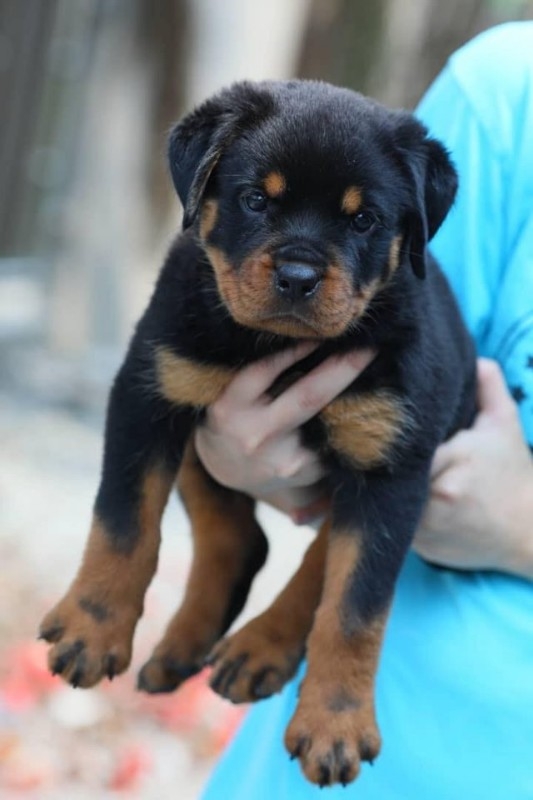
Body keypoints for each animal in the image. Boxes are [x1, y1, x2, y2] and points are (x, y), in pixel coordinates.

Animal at [40, 83, 474, 788]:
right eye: (255, 200)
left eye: (363, 220)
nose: (298, 276)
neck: (282, 348)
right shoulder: (150, 392)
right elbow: (124, 522)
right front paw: (91, 629)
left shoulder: (394, 466)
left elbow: (356, 609)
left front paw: (335, 725)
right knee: (239, 539)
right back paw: (187, 649)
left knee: (313, 563)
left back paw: (259, 650)